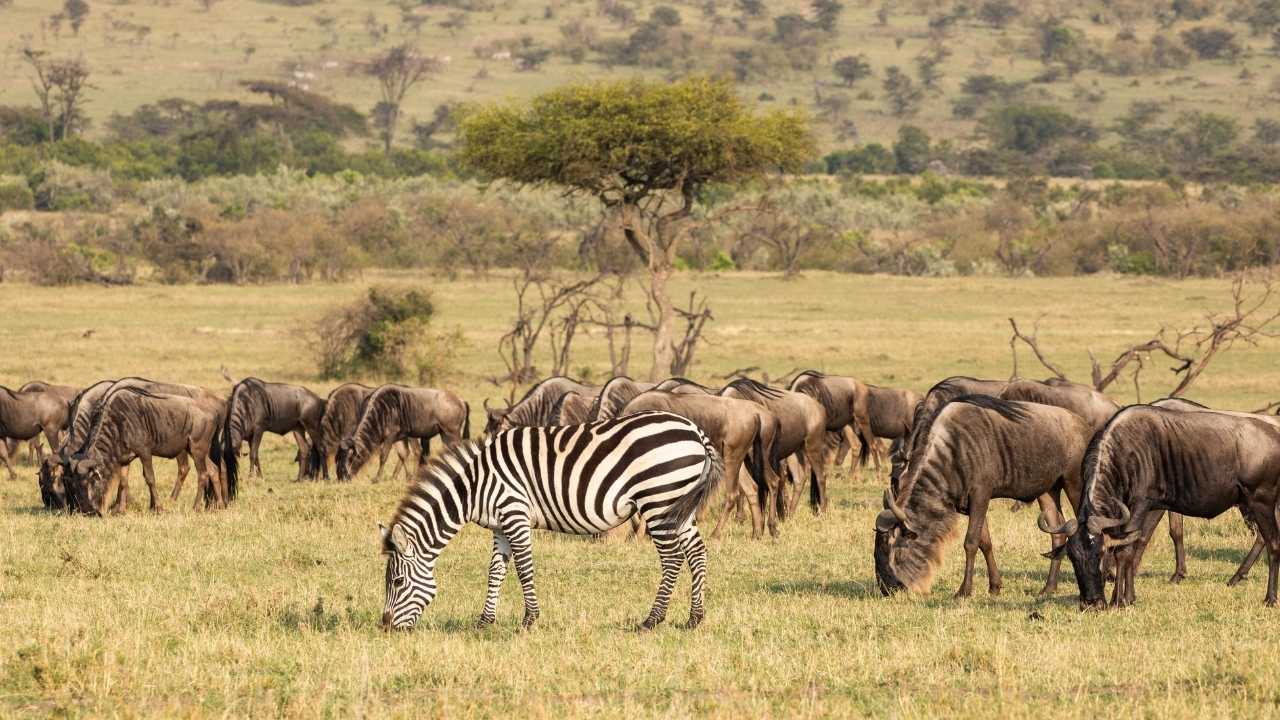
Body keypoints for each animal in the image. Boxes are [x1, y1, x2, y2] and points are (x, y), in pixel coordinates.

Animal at [379, 410, 726, 632]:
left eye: (397, 582)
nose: (385, 627)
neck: (474, 485)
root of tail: (694, 431)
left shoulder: (515, 513)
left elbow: (523, 569)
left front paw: (529, 620)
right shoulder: (500, 525)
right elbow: (495, 571)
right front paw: (484, 622)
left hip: (659, 500)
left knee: (672, 558)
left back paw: (652, 620)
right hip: (681, 504)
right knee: (696, 553)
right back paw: (694, 618)